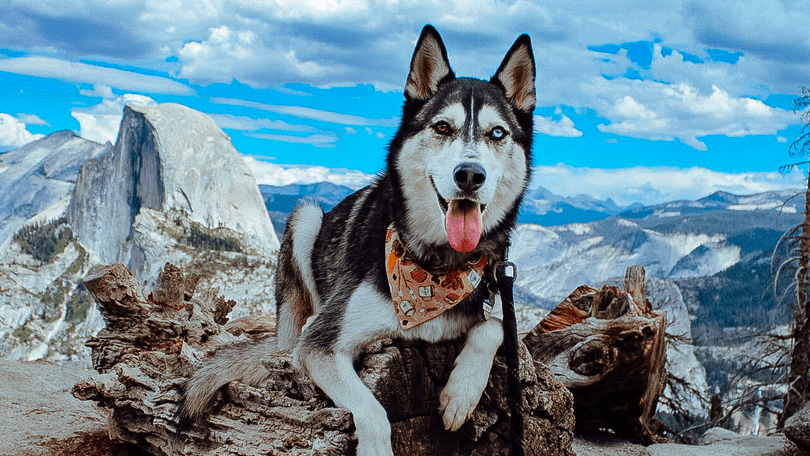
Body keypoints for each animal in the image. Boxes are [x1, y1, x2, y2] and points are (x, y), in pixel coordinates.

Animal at [177, 25, 532, 456]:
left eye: (497, 133)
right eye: (442, 128)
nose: (469, 175)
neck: (433, 267)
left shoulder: (486, 299)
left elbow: (494, 325)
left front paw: (461, 393)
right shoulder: (322, 344)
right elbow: (373, 410)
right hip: (307, 219)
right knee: (287, 340)